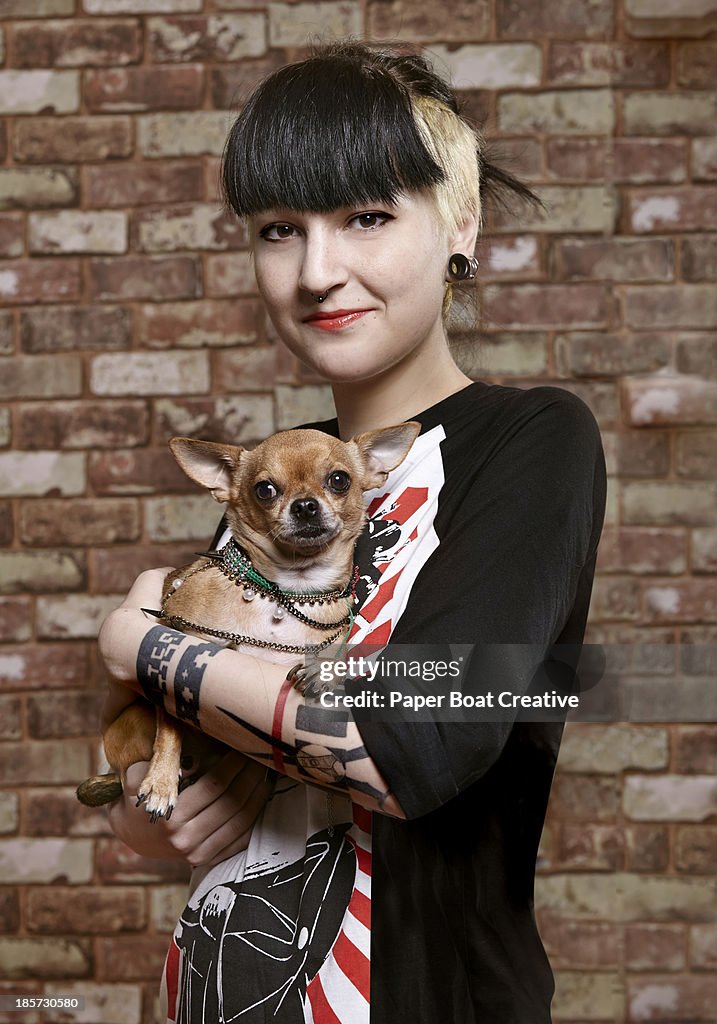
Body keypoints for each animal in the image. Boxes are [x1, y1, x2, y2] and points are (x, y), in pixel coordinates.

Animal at [76, 423, 419, 823]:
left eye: (339, 480)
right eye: (264, 489)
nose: (305, 506)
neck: (287, 593)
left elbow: (342, 649)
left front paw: (325, 669)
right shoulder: (175, 639)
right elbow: (171, 724)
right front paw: (160, 782)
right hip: (131, 722)